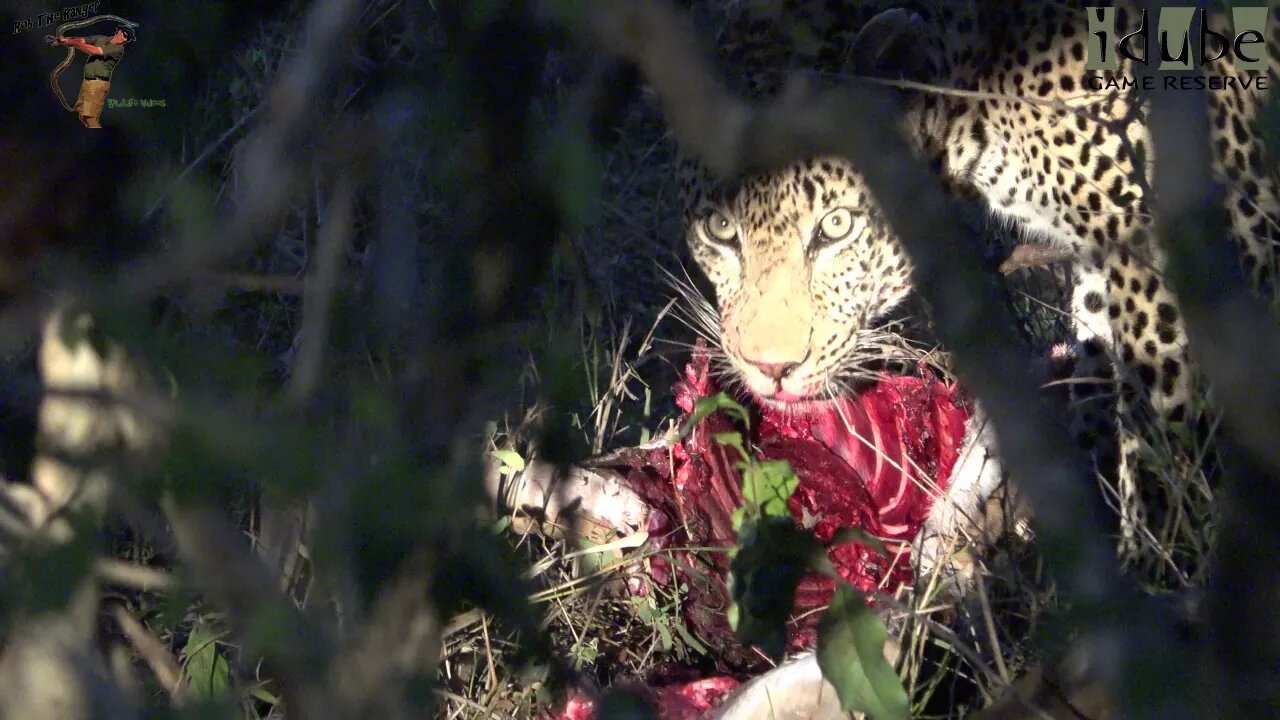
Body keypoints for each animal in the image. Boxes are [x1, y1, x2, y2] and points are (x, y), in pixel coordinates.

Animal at [675, 0, 1280, 568]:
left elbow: (1161, 411)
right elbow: (1095, 364)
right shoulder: (1099, 252)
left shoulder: (1190, 230)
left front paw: (1159, 560)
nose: (771, 369)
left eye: (837, 225)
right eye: (720, 229)